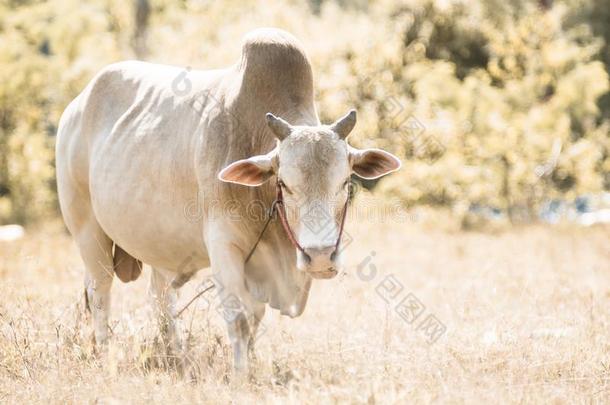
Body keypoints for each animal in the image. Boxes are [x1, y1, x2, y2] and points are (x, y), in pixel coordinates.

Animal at [55, 28, 400, 372]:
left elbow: (255, 318)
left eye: (345, 183)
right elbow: (239, 321)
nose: (319, 257)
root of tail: (75, 107)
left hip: (159, 246)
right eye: (284, 184)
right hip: (88, 232)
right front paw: (240, 374)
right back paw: (106, 356)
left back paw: (175, 355)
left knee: (159, 296)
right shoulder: (223, 247)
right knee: (100, 292)